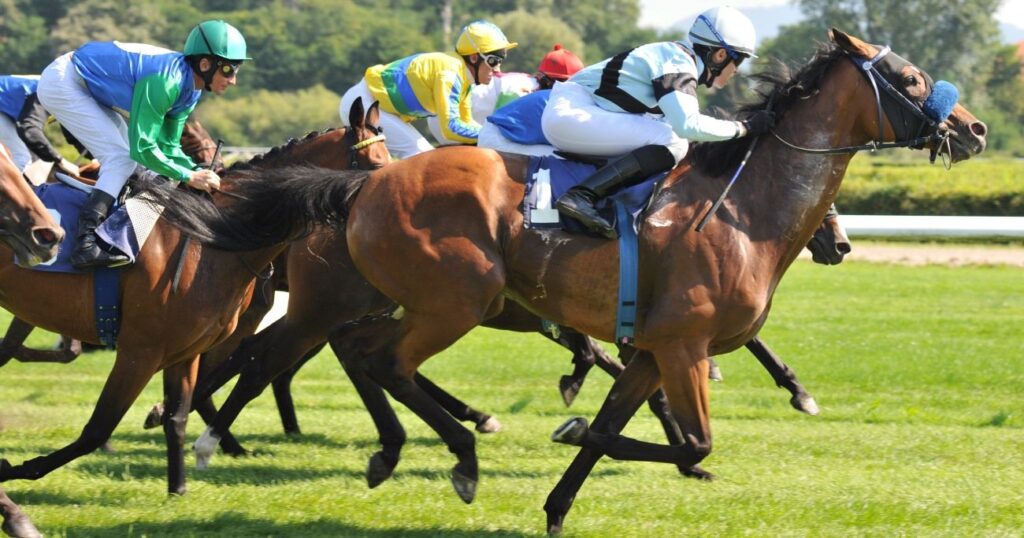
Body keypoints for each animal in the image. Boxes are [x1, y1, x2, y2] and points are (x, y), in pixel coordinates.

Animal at [0, 100, 388, 496]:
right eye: (376, 165)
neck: (209, 235)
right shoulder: (140, 351)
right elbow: (97, 429)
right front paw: (14, 470)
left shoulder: (185, 351)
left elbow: (178, 417)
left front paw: (178, 489)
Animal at [156, 29, 985, 533]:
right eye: (910, 78)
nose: (974, 129)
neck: (743, 206)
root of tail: (364, 183)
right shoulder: (683, 346)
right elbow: (688, 440)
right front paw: (578, 425)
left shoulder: (652, 350)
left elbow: (624, 424)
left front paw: (559, 497)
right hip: (450, 297)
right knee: (356, 359)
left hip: (388, 299)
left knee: (353, 356)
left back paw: (386, 449)